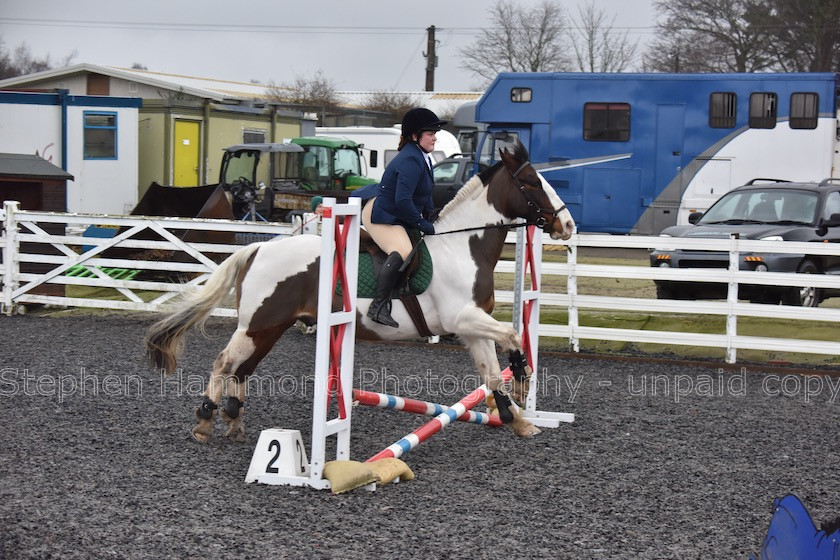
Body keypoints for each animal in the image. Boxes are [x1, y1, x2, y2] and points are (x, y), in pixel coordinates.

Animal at [146, 141, 576, 446]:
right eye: (532, 183)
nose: (568, 226)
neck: (462, 246)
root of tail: (259, 248)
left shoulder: (472, 328)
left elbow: (491, 373)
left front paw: (517, 419)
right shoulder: (463, 318)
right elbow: (513, 335)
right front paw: (521, 382)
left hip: (269, 327)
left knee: (243, 369)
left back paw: (233, 421)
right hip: (256, 325)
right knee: (224, 363)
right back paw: (204, 422)